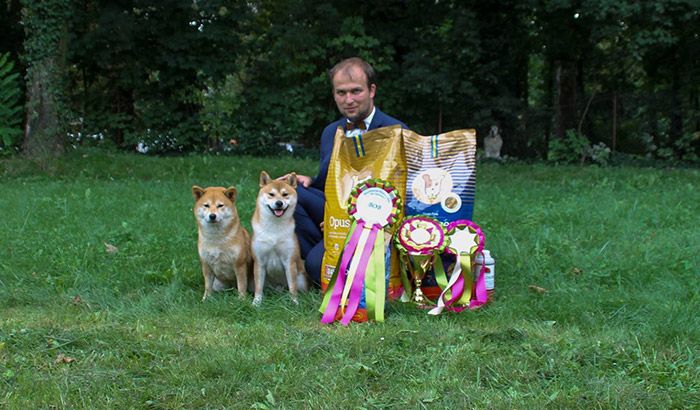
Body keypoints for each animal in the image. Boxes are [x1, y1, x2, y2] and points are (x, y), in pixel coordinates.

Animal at [250, 171, 308, 304]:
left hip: (301, 280)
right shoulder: (259, 261)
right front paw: (256, 302)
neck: (274, 228)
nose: (279, 203)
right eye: (271, 194)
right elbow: (258, 287)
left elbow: (292, 287)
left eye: (285, 194)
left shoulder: (289, 261)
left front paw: (294, 302)